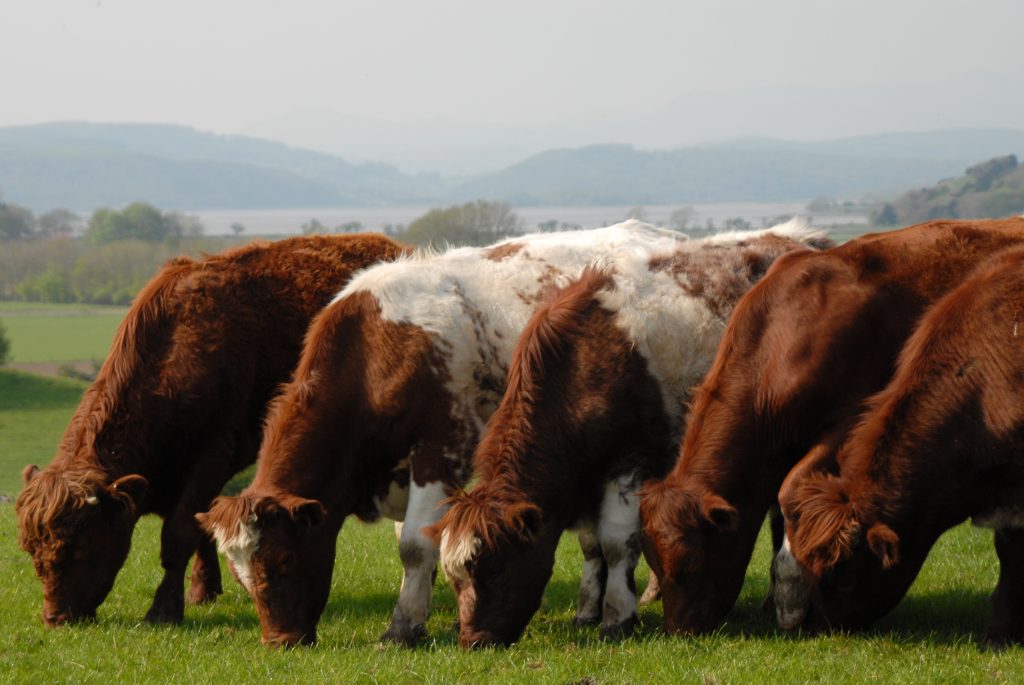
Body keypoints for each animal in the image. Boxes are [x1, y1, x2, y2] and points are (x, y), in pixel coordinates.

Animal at [15, 234, 405, 627]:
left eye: (83, 546)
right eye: (30, 548)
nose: (56, 617)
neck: (172, 359)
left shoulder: (210, 458)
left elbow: (178, 535)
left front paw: (164, 609)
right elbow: (201, 527)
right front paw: (203, 591)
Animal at [196, 222, 692, 648]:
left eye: (283, 559)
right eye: (240, 576)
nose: (281, 641)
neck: (379, 351)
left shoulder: (441, 446)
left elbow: (415, 546)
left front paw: (401, 628)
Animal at [427, 222, 830, 647]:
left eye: (495, 569)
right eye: (455, 580)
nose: (473, 639)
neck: (585, 364)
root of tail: (800, 238)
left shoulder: (629, 464)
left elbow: (616, 545)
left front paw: (617, 616)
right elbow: (591, 547)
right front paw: (588, 610)